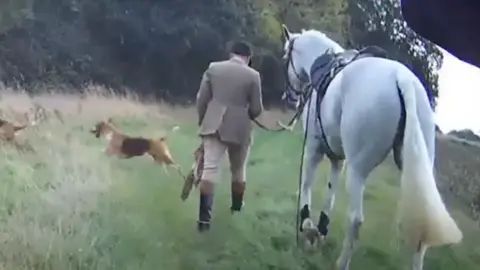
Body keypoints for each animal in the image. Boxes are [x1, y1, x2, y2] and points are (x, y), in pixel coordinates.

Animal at [280, 23, 464, 270]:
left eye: (285, 57)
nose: (289, 97)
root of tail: (402, 79)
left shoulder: (313, 150)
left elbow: (306, 185)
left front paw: (307, 228)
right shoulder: (338, 159)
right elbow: (330, 194)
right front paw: (320, 231)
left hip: (358, 169)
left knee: (355, 219)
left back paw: (342, 263)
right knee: (420, 238)